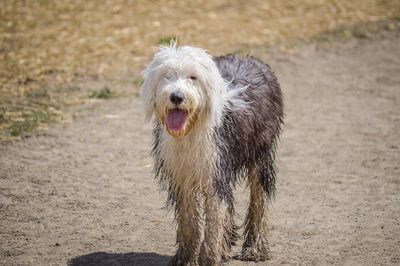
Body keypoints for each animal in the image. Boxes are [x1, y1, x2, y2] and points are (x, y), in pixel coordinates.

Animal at [142, 44, 282, 264]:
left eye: (193, 77)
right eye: (167, 75)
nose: (176, 97)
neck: (191, 131)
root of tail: (251, 59)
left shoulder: (214, 171)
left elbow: (214, 222)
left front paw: (209, 257)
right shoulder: (183, 176)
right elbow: (189, 221)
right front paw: (186, 258)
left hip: (260, 151)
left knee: (259, 198)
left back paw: (255, 248)